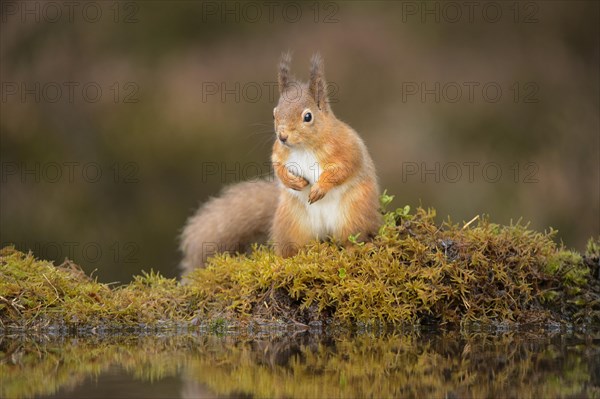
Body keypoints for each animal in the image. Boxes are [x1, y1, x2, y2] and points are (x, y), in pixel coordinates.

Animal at [180, 52, 382, 272]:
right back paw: (288, 260)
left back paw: (357, 248)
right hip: (291, 224)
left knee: (352, 238)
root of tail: (324, 231)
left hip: (355, 213)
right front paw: (292, 182)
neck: (304, 147)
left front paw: (320, 187)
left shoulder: (347, 149)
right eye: (274, 113)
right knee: (292, 247)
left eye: (308, 116)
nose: (282, 136)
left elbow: (343, 169)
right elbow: (278, 168)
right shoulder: (279, 152)